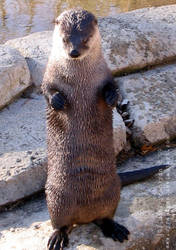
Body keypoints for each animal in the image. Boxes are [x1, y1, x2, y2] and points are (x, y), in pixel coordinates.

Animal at [42, 8, 168, 250]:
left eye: (85, 38)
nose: (73, 52)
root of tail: (83, 217)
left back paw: (114, 228)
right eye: (65, 39)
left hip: (112, 192)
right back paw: (58, 236)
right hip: (56, 198)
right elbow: (46, 90)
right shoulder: (49, 75)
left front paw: (110, 98)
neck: (78, 77)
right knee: (60, 222)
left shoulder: (107, 73)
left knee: (105, 216)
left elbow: (113, 87)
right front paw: (57, 100)